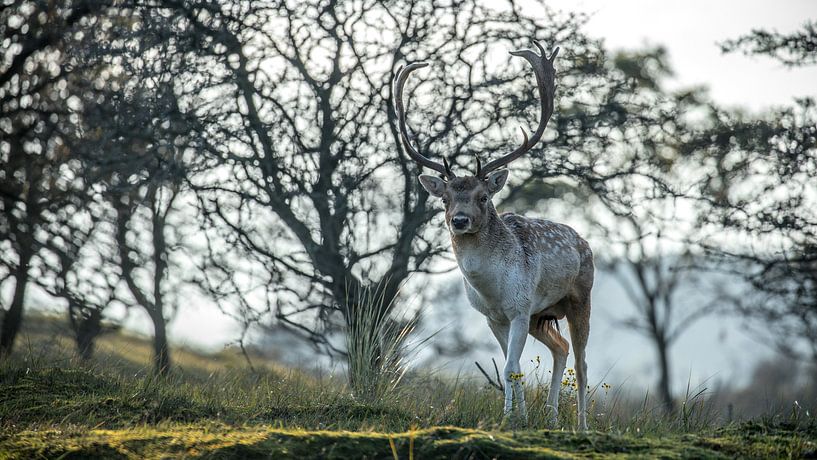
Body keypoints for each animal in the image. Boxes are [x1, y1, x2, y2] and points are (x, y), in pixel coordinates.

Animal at [392, 41, 588, 430]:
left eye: (483, 196)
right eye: (445, 198)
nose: (459, 220)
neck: (493, 289)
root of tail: (583, 240)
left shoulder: (520, 307)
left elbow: (511, 365)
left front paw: (513, 418)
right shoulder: (495, 317)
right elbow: (512, 367)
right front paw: (515, 418)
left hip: (580, 296)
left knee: (582, 360)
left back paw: (582, 425)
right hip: (543, 315)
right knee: (560, 348)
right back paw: (551, 417)